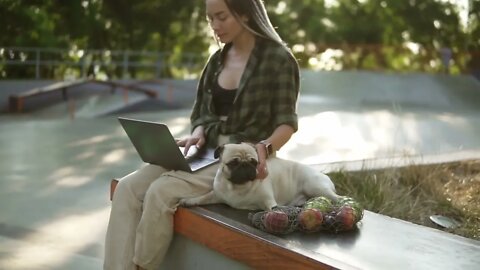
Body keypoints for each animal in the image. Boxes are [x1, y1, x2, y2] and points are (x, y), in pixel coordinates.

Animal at [178, 142, 340, 210]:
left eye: (254, 162)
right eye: (233, 163)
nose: (245, 165)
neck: (238, 187)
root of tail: (323, 175)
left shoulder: (268, 200)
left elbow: (272, 208)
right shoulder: (216, 195)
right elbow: (202, 197)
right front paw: (189, 200)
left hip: (314, 186)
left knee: (336, 197)